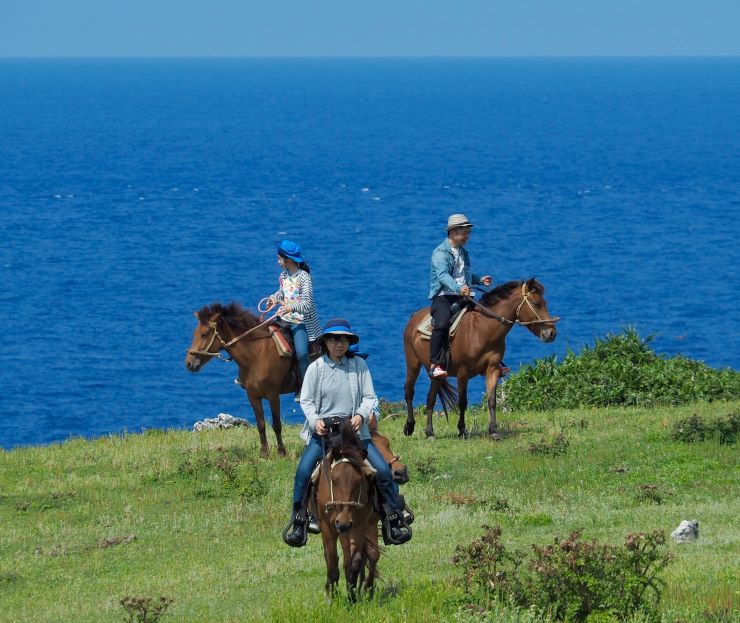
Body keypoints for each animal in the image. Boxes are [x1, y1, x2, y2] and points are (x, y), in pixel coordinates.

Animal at [184, 304, 294, 458]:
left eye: (204, 334)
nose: (189, 363)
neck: (257, 354)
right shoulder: (253, 396)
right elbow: (261, 424)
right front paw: (264, 453)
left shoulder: (273, 395)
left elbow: (277, 424)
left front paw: (281, 452)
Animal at [314, 416, 378, 604]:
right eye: (334, 480)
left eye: (359, 481)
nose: (342, 523)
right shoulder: (328, 527)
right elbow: (333, 563)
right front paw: (333, 599)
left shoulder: (357, 525)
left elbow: (354, 562)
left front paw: (352, 596)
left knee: (370, 555)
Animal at [402, 280, 556, 442]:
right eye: (537, 303)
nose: (552, 333)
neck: (482, 329)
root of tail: (414, 318)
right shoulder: (463, 373)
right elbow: (462, 402)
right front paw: (462, 430)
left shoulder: (492, 369)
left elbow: (492, 400)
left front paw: (494, 431)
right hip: (413, 364)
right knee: (409, 391)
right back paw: (409, 427)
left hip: (438, 374)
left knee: (430, 398)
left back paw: (430, 432)